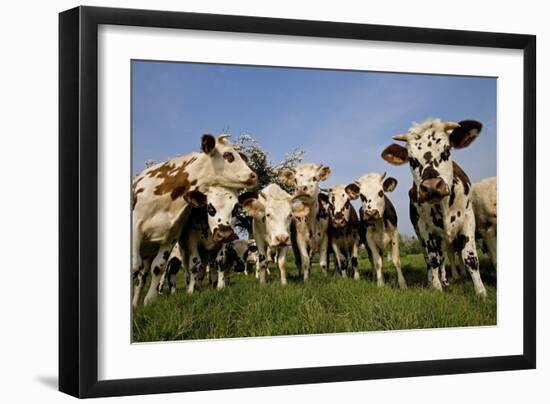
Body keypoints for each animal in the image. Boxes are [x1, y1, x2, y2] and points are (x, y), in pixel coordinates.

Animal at [133, 133, 258, 306]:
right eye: (228, 155)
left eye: (236, 209)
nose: (253, 175)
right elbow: (192, 265)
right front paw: (191, 292)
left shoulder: (172, 237)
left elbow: (159, 267)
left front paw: (219, 287)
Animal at [382, 118, 490, 298]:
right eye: (412, 160)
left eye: (446, 151)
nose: (432, 186)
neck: (443, 207)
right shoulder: (424, 227)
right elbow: (433, 259)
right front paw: (436, 287)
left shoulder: (468, 219)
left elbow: (470, 258)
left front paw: (481, 293)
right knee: (432, 258)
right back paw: (433, 280)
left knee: (443, 258)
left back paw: (445, 280)